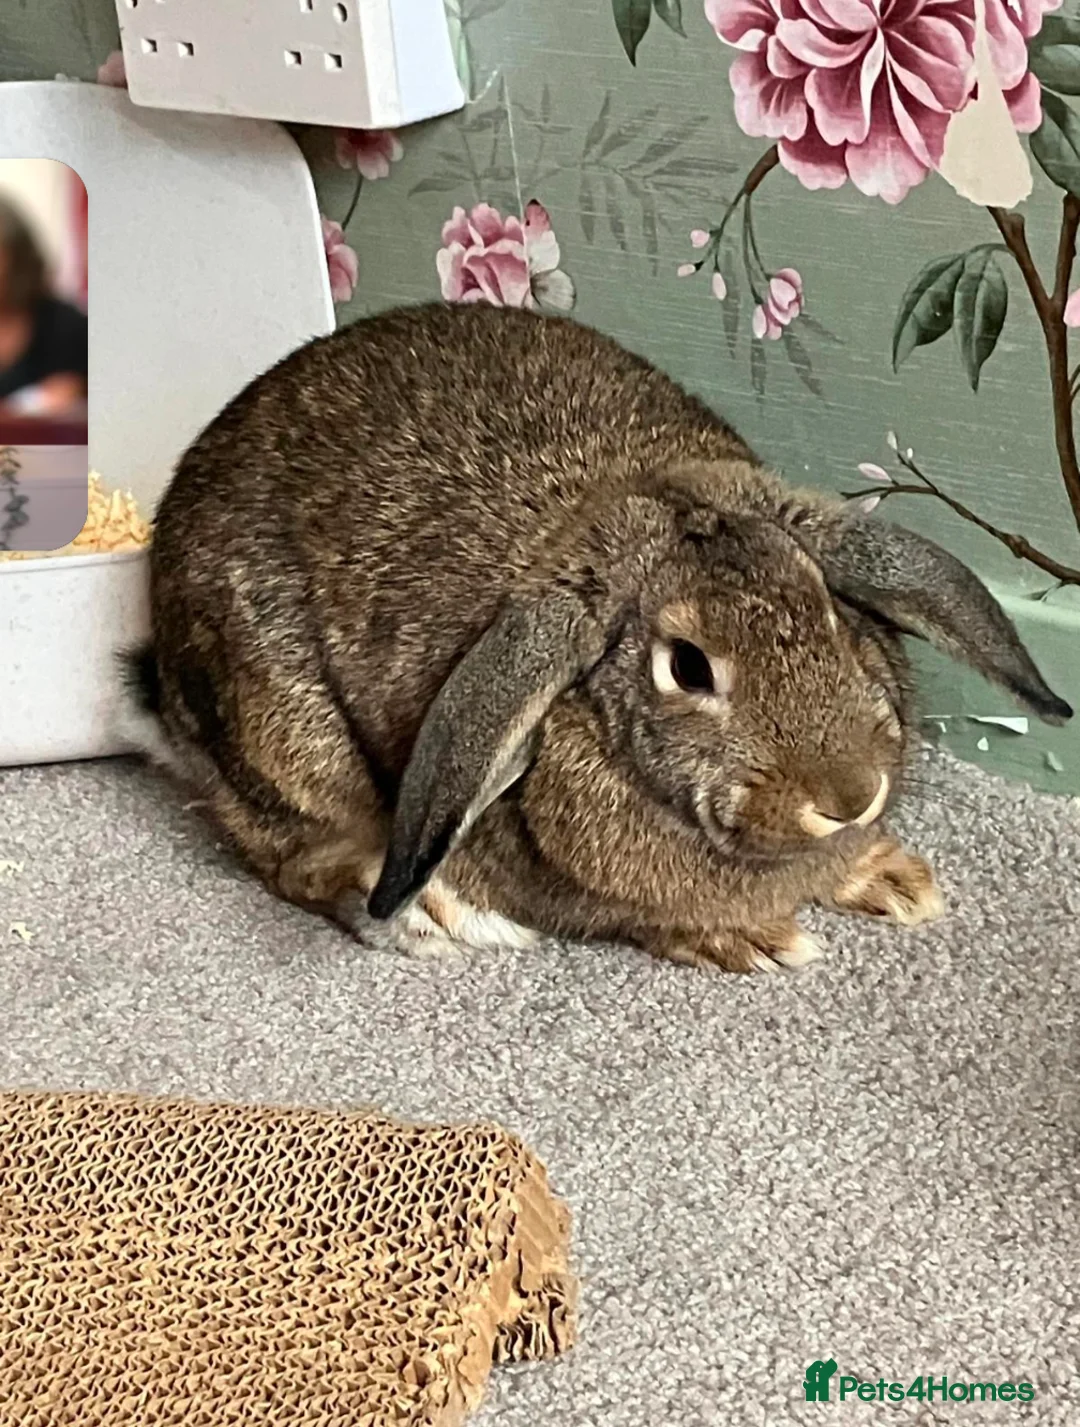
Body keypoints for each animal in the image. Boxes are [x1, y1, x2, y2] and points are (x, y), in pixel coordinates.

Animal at [129, 301, 1072, 973]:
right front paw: (754, 939)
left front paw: (894, 878)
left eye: (832, 612)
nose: (852, 795)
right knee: (293, 857)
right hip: (288, 737)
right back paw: (432, 916)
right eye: (687, 666)